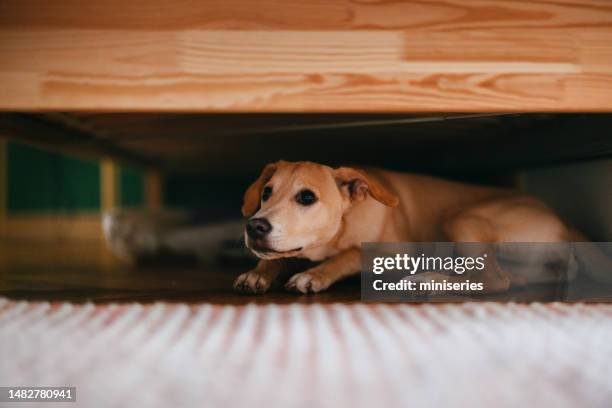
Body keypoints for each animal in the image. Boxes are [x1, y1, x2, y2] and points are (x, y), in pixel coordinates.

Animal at [232, 159, 608, 294]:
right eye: (266, 193)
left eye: (307, 197)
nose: (255, 227)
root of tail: (565, 222)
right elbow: (277, 257)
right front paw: (258, 273)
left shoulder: (397, 252)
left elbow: (349, 255)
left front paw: (314, 274)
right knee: (506, 278)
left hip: (461, 217)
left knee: (493, 281)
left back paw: (428, 281)